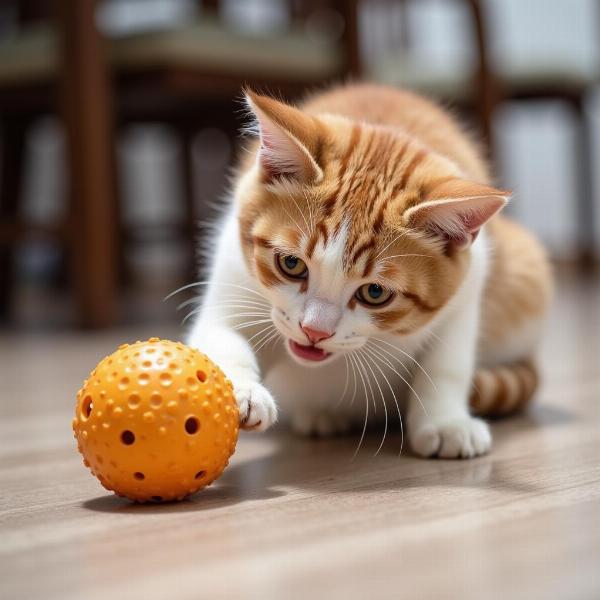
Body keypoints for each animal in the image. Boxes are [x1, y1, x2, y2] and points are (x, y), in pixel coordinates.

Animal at [188, 83, 552, 460]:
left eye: (374, 293)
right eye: (291, 264)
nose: (314, 331)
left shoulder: (468, 286)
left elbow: (447, 361)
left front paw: (446, 422)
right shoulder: (231, 268)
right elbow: (221, 333)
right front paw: (241, 390)